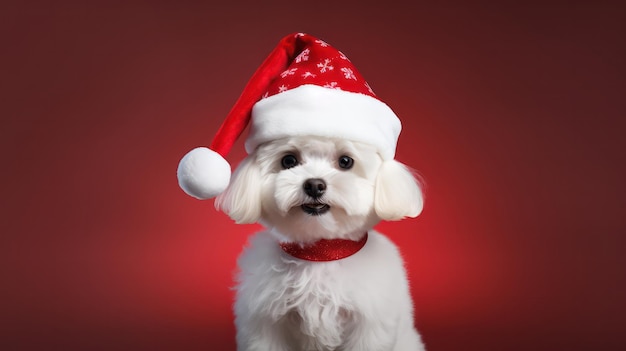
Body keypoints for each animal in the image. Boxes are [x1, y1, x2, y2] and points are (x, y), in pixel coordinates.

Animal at [214, 135, 424, 351]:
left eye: (345, 161)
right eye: (288, 160)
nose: (314, 185)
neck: (320, 254)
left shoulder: (367, 326)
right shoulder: (266, 323)